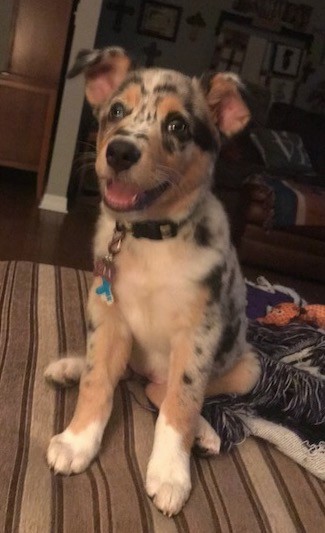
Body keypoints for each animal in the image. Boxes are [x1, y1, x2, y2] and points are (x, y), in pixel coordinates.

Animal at [45, 46, 258, 516]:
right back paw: (69, 367)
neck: (151, 239)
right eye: (116, 111)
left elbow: (180, 402)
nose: (120, 152)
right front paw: (77, 441)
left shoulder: (198, 335)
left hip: (246, 367)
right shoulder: (108, 314)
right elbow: (98, 382)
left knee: (166, 392)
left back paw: (205, 432)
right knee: (115, 373)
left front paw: (170, 473)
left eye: (177, 125)